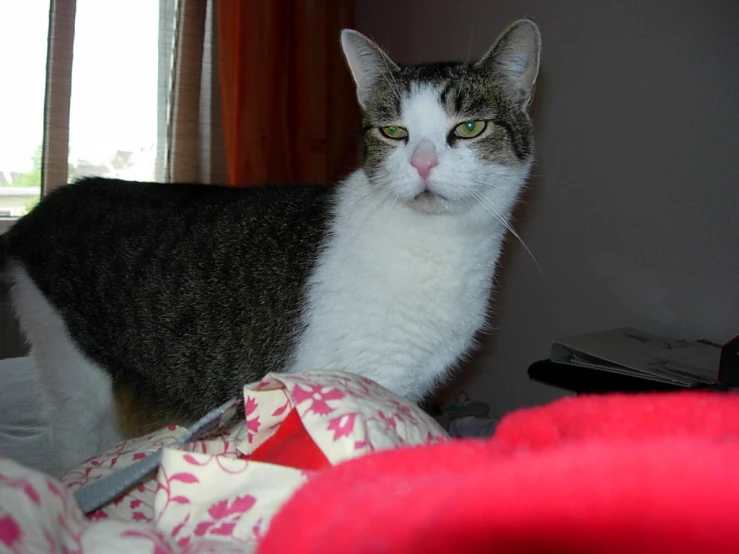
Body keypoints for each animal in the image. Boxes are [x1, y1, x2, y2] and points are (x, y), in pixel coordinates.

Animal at [1, 20, 544, 470]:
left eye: (469, 127)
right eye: (394, 131)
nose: (424, 163)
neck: (437, 248)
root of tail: (40, 212)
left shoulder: (401, 387)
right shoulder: (335, 384)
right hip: (71, 369)